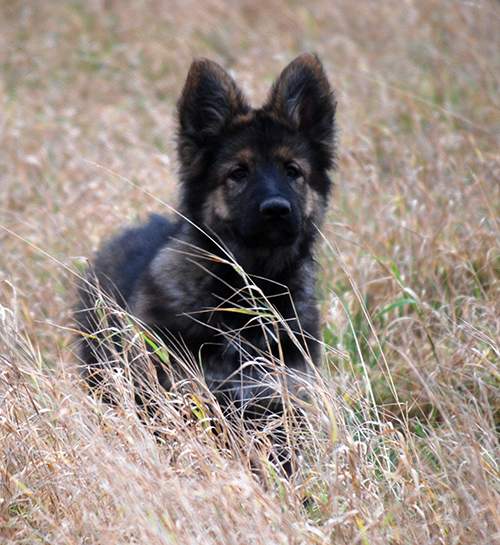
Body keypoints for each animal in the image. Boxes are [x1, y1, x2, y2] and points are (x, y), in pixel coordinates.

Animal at [76, 54, 336, 462]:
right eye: (238, 173)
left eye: (292, 171)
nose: (276, 210)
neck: (249, 288)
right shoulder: (181, 403)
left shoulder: (279, 407)